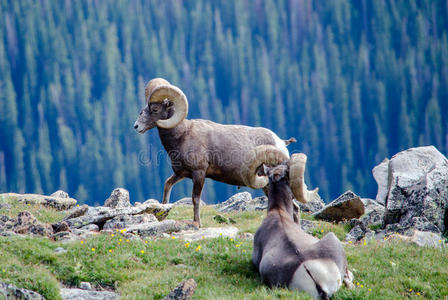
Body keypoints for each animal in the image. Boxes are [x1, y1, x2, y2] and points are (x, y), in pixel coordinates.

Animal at [135, 78, 300, 226]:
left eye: (155, 109)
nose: (136, 126)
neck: (182, 135)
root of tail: (281, 143)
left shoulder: (199, 173)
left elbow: (195, 198)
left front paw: (197, 223)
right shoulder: (181, 173)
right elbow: (167, 185)